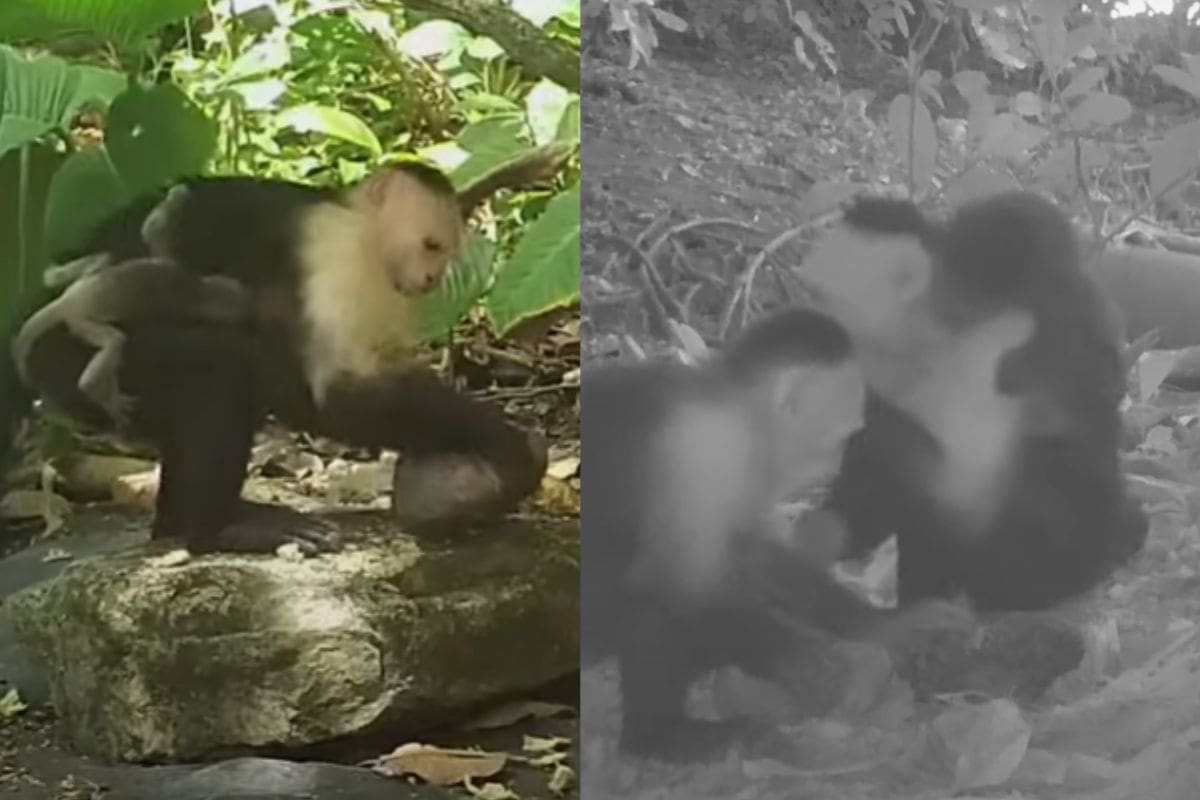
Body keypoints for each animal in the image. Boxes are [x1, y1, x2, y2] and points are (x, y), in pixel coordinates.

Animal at [1, 160, 547, 556]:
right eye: (432, 244)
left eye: (446, 253)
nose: (433, 280)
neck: (356, 224)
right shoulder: (340, 254)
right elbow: (341, 391)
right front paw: (510, 448)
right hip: (70, 359)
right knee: (218, 364)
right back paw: (210, 530)